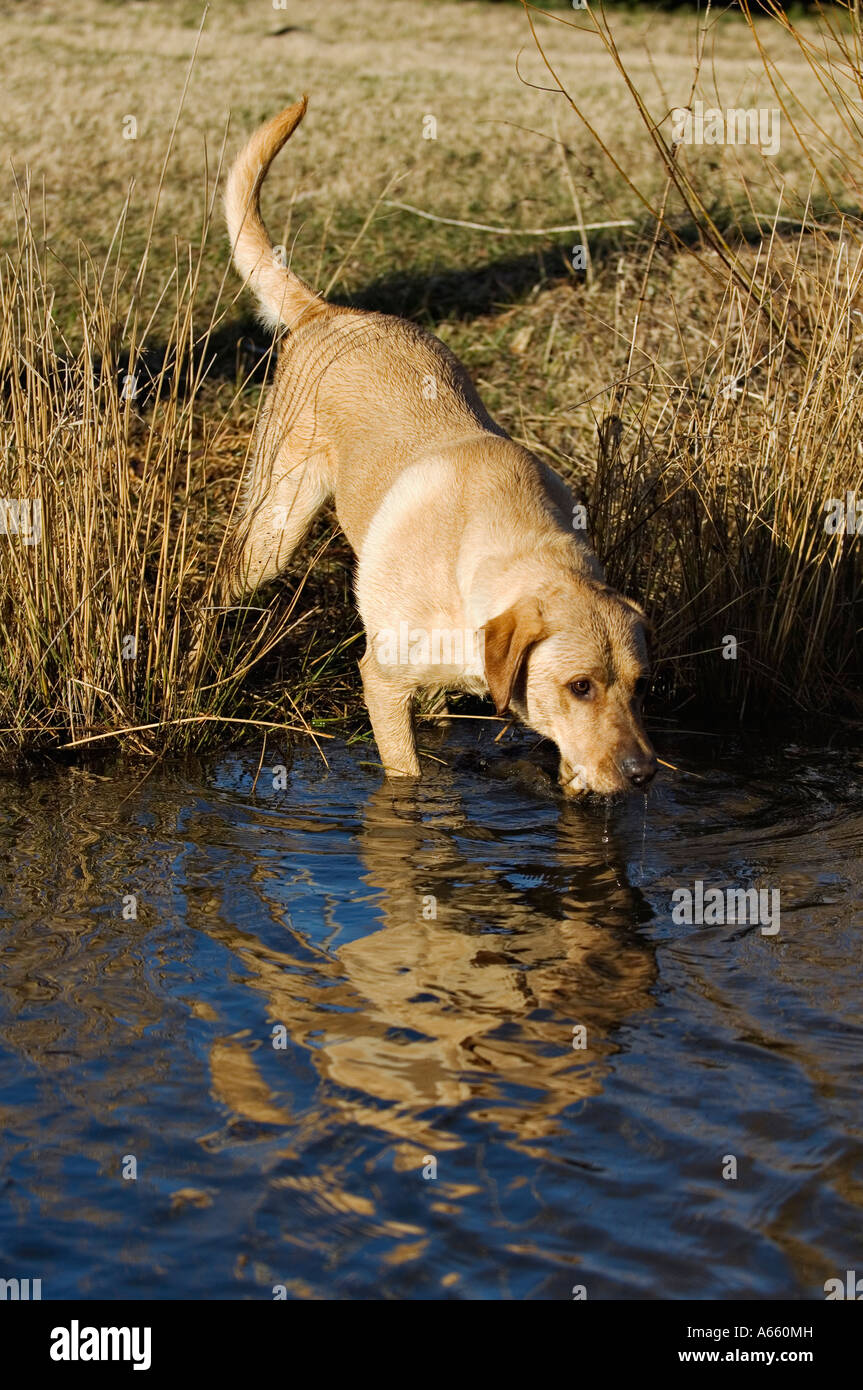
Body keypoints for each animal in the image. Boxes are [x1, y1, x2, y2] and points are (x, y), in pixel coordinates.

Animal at [220, 97, 653, 800]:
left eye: (642, 688)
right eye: (580, 686)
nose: (644, 775)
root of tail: (329, 312)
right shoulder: (382, 681)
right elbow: (405, 776)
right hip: (274, 528)